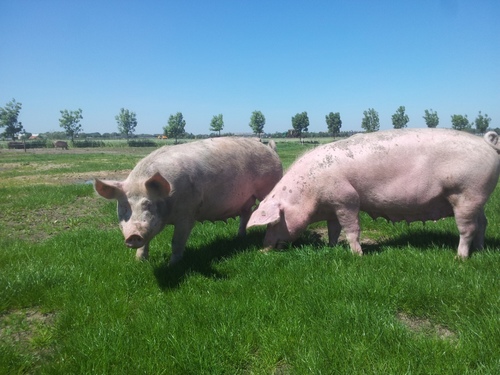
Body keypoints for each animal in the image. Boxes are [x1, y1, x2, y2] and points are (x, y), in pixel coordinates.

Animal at [94, 138, 282, 264]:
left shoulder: (188, 213)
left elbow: (177, 241)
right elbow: (146, 242)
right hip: (246, 199)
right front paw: (139, 261)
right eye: (124, 206)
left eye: (148, 204)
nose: (133, 235)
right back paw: (239, 237)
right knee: (246, 214)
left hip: (269, 185)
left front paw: (173, 265)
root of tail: (270, 149)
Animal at [248, 129, 500, 258]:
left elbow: (351, 229)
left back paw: (460, 258)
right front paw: (332, 247)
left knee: (467, 228)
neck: (310, 192)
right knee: (483, 223)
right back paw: (480, 250)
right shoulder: (332, 206)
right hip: (477, 199)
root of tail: (487, 144)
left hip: (466, 193)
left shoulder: (346, 198)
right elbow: (333, 229)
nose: (262, 248)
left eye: (273, 222)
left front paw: (357, 256)